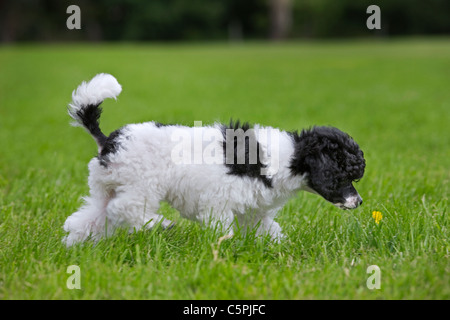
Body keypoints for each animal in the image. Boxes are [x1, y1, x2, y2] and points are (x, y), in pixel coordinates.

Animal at [63, 74, 366, 246]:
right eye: (343, 177)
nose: (360, 202)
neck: (291, 155)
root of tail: (108, 140)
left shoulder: (252, 210)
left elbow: (267, 229)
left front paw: (279, 247)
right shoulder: (218, 201)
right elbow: (223, 228)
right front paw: (224, 247)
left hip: (107, 187)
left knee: (92, 217)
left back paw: (77, 244)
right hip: (141, 185)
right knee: (124, 209)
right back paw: (160, 225)